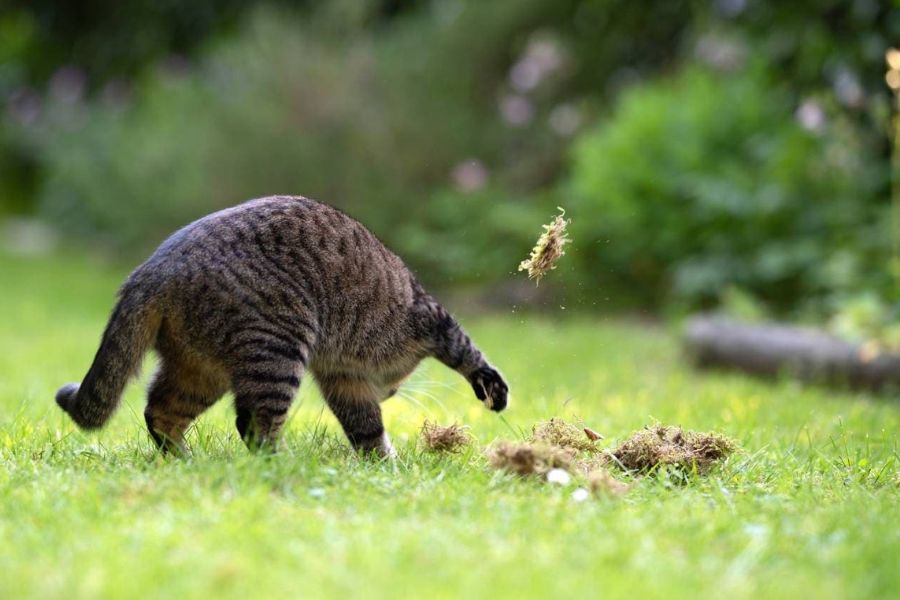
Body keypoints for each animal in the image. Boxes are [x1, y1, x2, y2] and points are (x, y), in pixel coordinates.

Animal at [54, 196, 506, 454]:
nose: (392, 392)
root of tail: (150, 271)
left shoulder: (344, 381)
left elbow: (367, 430)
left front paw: (383, 468)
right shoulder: (430, 319)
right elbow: (469, 353)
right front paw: (492, 390)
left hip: (200, 370)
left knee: (161, 411)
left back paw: (184, 460)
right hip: (277, 348)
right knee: (253, 424)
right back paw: (280, 466)